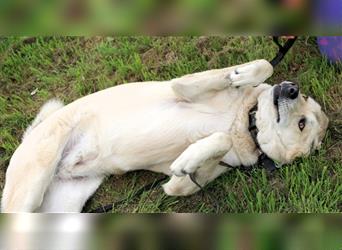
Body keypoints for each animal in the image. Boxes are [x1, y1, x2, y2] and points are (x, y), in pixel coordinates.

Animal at [2, 59, 328, 212]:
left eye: (302, 124)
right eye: (304, 99)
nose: (292, 88)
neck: (245, 123)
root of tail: (33, 132)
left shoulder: (182, 185)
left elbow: (209, 151)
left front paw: (189, 158)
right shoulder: (182, 86)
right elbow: (264, 65)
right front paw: (241, 75)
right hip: (33, 186)